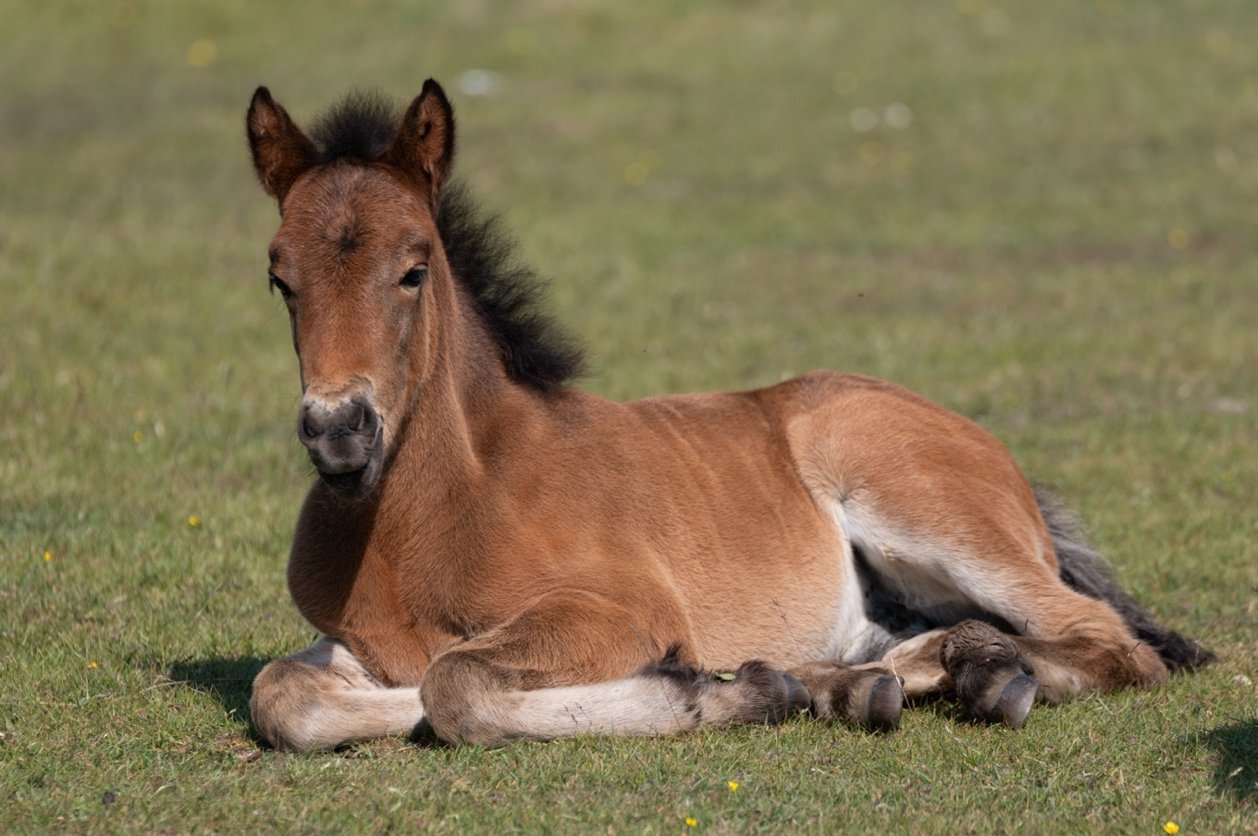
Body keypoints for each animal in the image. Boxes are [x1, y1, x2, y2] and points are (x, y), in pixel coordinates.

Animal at [243, 79, 1213, 751]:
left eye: (413, 270)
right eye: (279, 278)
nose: (338, 432)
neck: (435, 514)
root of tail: (996, 454)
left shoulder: (619, 608)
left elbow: (454, 685)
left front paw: (703, 688)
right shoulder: (357, 643)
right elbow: (285, 695)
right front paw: (754, 684)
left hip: (929, 514)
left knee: (1112, 642)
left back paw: (983, 679)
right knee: (916, 644)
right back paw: (876, 679)